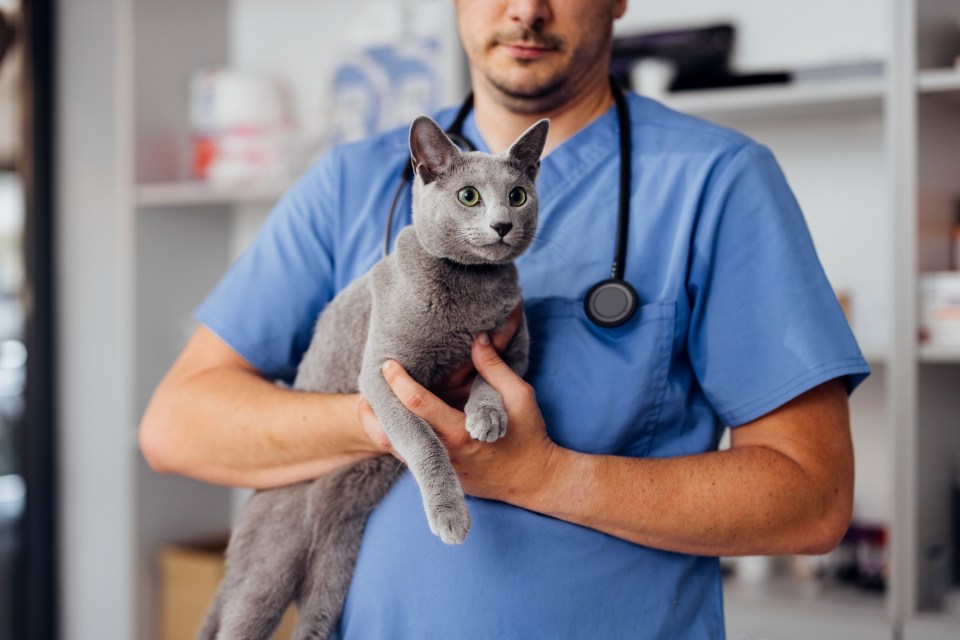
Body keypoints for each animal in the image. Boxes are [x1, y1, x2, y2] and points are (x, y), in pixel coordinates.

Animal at [197, 115, 548, 640]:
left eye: (519, 195)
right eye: (469, 196)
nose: (503, 224)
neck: (472, 289)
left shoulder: (514, 346)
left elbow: (493, 376)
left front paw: (486, 417)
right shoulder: (382, 373)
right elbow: (423, 441)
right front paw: (451, 516)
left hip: (335, 564)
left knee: (314, 615)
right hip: (268, 566)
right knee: (242, 617)